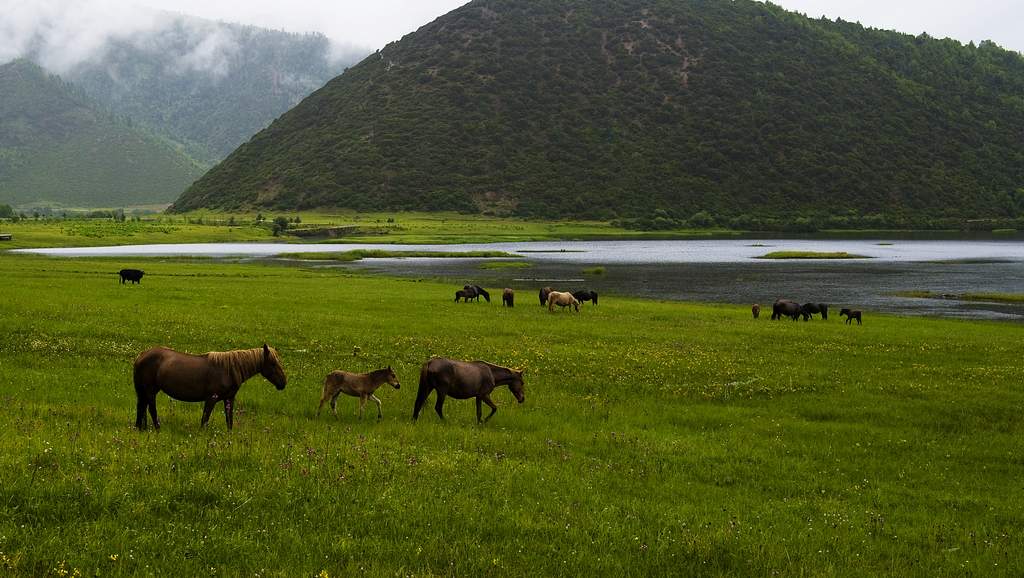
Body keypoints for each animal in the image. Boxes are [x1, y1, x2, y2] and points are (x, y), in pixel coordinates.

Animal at [131, 342, 288, 428]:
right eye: (273, 363)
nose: (283, 383)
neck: (228, 369)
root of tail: (141, 355)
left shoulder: (229, 399)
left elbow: (229, 421)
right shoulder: (211, 399)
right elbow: (204, 420)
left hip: (145, 391)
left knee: (142, 408)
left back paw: (141, 428)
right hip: (150, 391)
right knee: (151, 409)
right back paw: (157, 428)